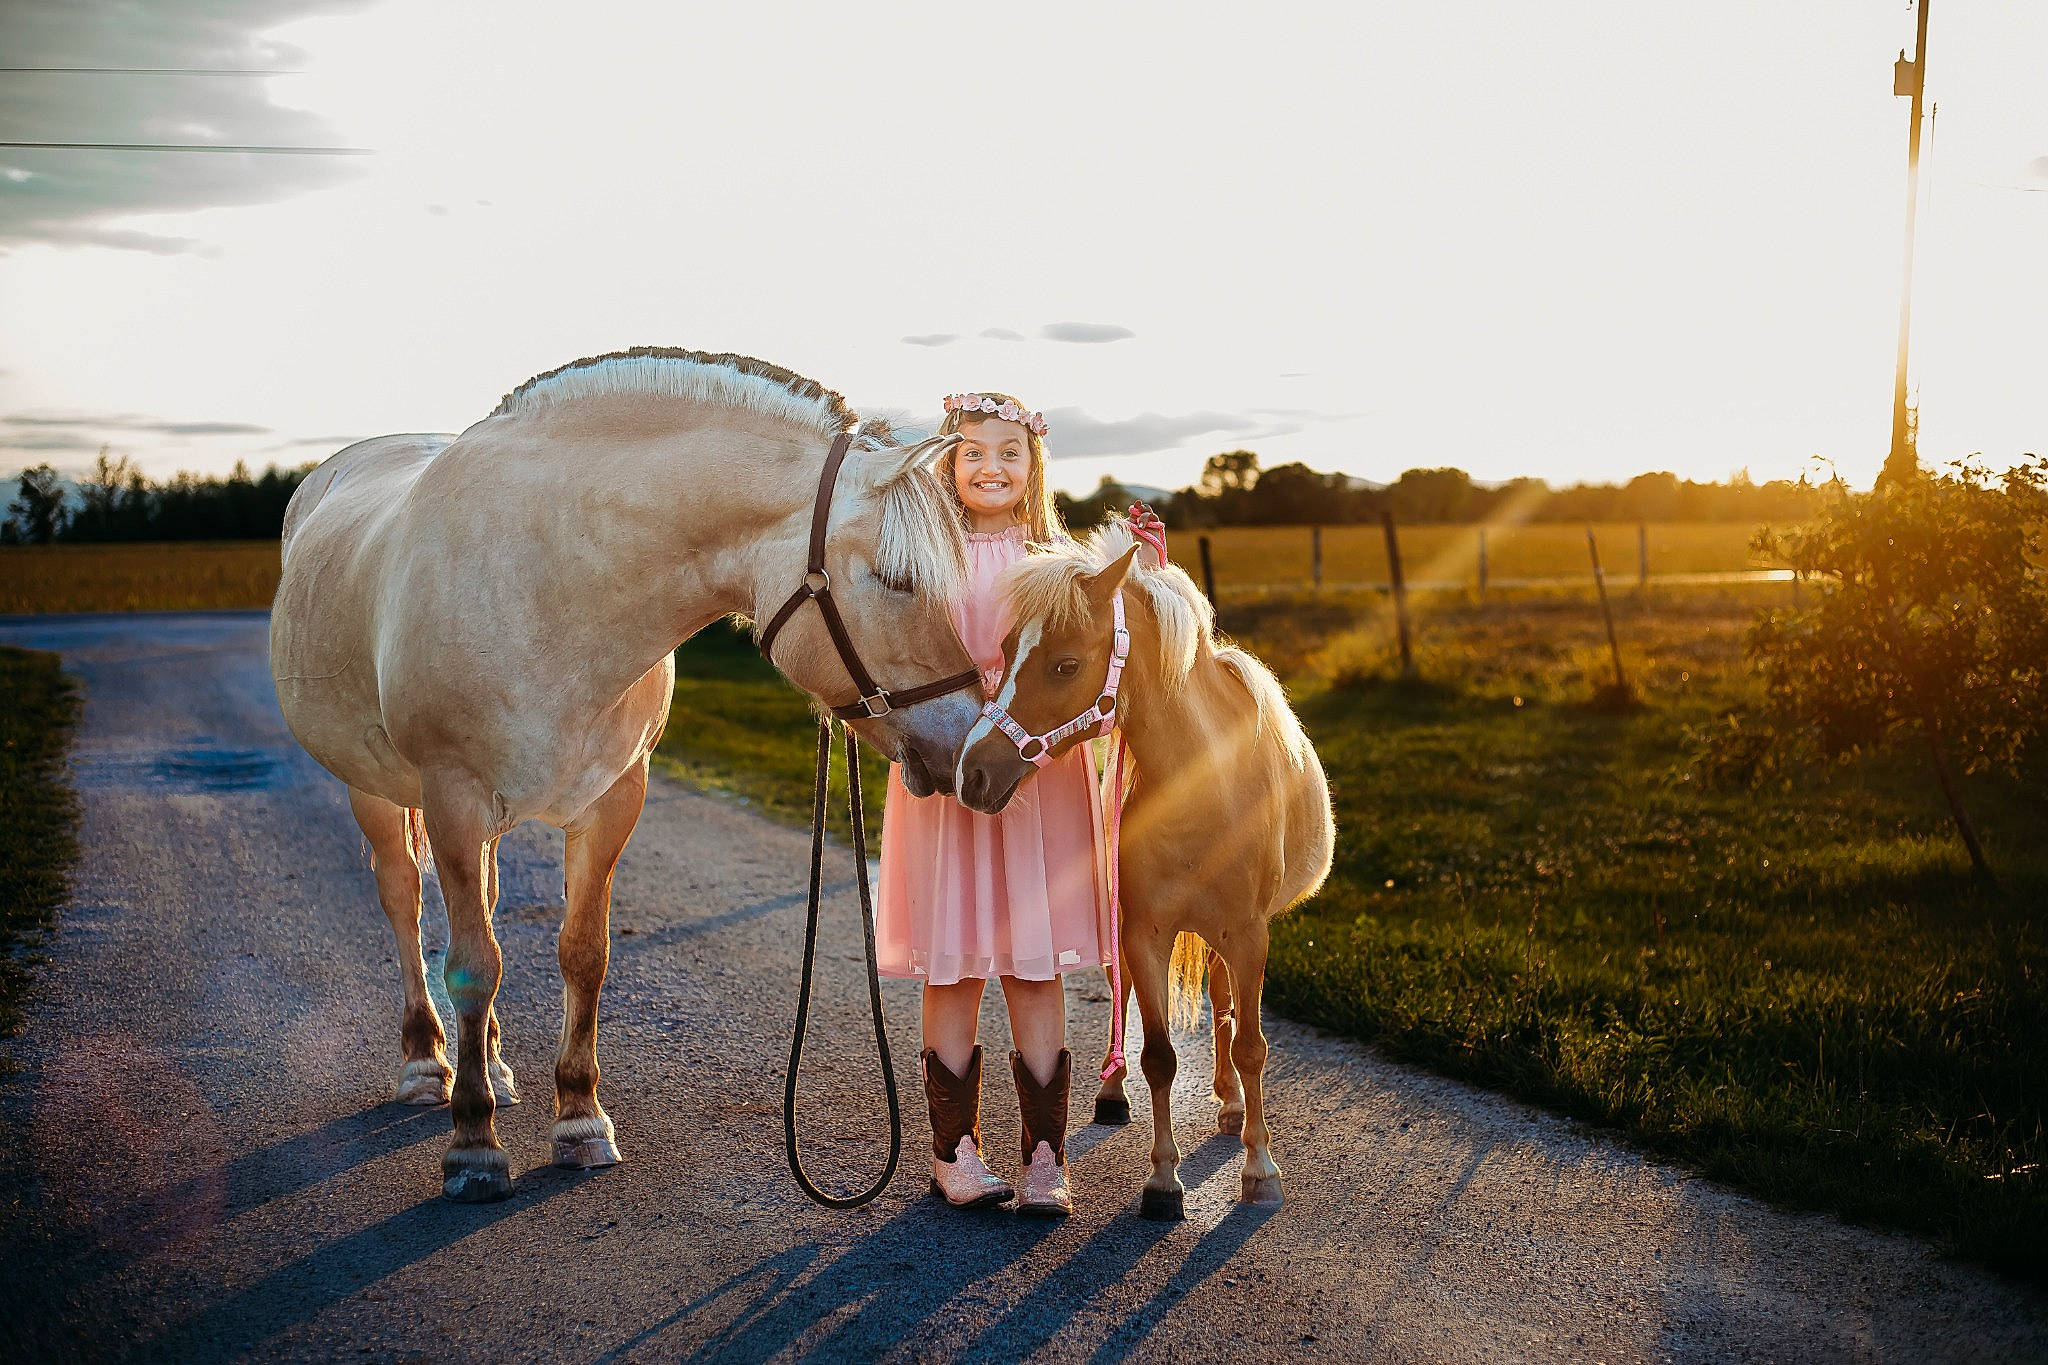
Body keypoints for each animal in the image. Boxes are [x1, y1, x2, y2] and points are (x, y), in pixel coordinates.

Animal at [270, 347, 982, 1201]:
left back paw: (496, 1065)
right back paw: (425, 1063)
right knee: (406, 904)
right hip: (378, 791)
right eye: (897, 579)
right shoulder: (453, 796)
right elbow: (473, 962)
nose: (972, 746)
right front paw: (475, 1146)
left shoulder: (613, 800)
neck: (557, 584)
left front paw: (579, 1120)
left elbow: (583, 953)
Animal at [954, 518, 1334, 1217]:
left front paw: (1259, 1168)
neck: (1205, 790)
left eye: (1065, 664)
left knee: (1223, 1006)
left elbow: (1251, 1046)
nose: (974, 772)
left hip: (1226, 935)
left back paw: (1231, 1107)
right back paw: (1113, 1093)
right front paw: (1162, 1180)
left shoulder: (1249, 934)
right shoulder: (1144, 932)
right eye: (1007, 650)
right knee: (1127, 995)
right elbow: (1158, 1053)